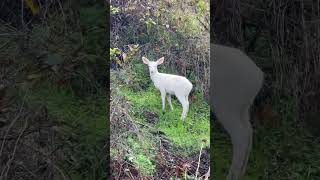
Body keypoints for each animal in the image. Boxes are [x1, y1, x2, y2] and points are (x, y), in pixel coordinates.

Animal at [211, 44, 264, 180]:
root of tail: (259, 77)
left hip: (227, 104)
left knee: (241, 136)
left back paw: (231, 175)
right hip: (243, 107)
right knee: (249, 132)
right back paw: (241, 172)